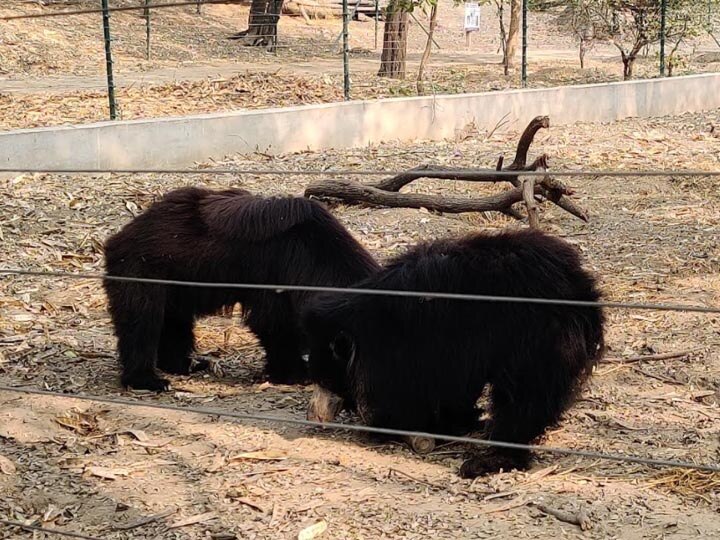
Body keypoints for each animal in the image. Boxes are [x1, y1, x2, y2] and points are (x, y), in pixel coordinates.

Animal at [105, 188, 382, 390]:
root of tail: (118, 237)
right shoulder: (273, 274)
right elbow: (273, 322)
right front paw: (295, 373)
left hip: (177, 285)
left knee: (175, 323)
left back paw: (187, 364)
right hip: (141, 272)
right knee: (142, 321)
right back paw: (149, 380)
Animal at [300, 228, 604, 476]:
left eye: (327, 380)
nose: (316, 416)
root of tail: (582, 290)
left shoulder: (432, 342)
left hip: (539, 340)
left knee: (524, 397)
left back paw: (490, 459)